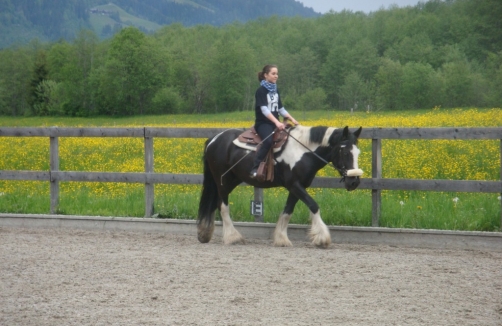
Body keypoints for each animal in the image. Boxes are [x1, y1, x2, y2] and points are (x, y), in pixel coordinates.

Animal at [195, 125, 360, 247]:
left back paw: (204, 233)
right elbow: (313, 205)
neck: (303, 152)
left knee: (213, 204)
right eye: (345, 152)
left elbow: (288, 211)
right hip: (222, 180)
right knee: (222, 206)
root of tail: (214, 139)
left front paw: (281, 239)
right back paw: (232, 237)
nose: (354, 182)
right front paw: (322, 238)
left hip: (232, 180)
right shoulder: (294, 185)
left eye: (358, 152)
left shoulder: (297, 187)